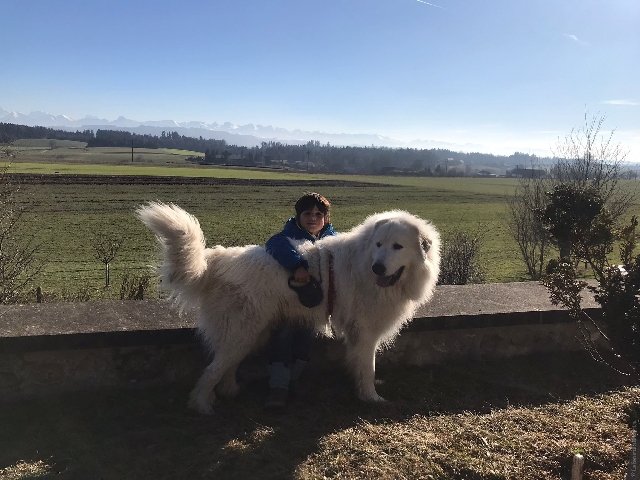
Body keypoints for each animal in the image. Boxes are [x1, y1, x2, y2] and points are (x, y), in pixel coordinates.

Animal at [137, 201, 440, 414]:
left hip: (251, 334)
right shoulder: (365, 332)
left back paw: (230, 390)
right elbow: (368, 365)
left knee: (227, 365)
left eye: (397, 246)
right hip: (243, 332)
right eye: (378, 244)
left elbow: (360, 363)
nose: (378, 267)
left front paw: (363, 387)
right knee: (213, 369)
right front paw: (370, 397)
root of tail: (218, 259)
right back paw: (201, 405)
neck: (364, 263)